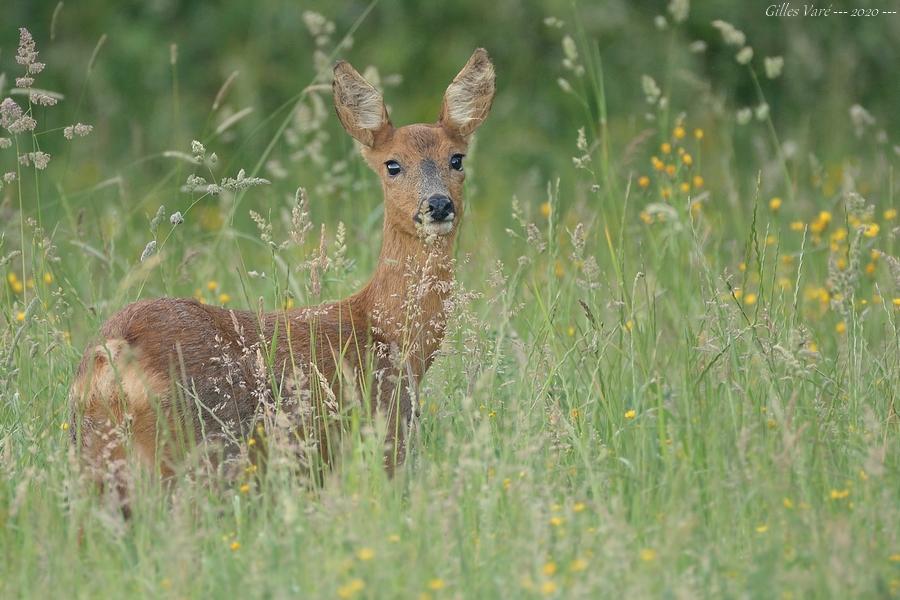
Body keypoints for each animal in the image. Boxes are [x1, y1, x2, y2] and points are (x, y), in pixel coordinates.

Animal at [67, 47, 496, 508]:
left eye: (457, 159)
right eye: (392, 165)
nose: (438, 204)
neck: (389, 332)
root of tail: (113, 352)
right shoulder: (385, 428)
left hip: (95, 457)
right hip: (200, 449)